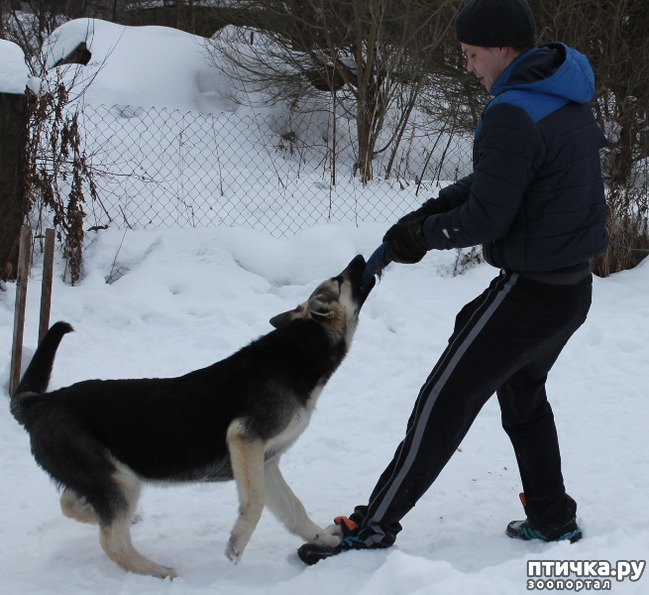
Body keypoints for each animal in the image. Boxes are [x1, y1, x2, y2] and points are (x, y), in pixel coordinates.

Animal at [8, 255, 374, 576]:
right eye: (340, 280)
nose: (360, 258)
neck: (299, 350)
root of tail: (39, 402)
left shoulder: (265, 460)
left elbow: (293, 508)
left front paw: (323, 538)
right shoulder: (245, 440)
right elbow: (254, 503)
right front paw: (236, 544)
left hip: (116, 478)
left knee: (74, 505)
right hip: (118, 480)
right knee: (112, 541)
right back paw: (159, 572)